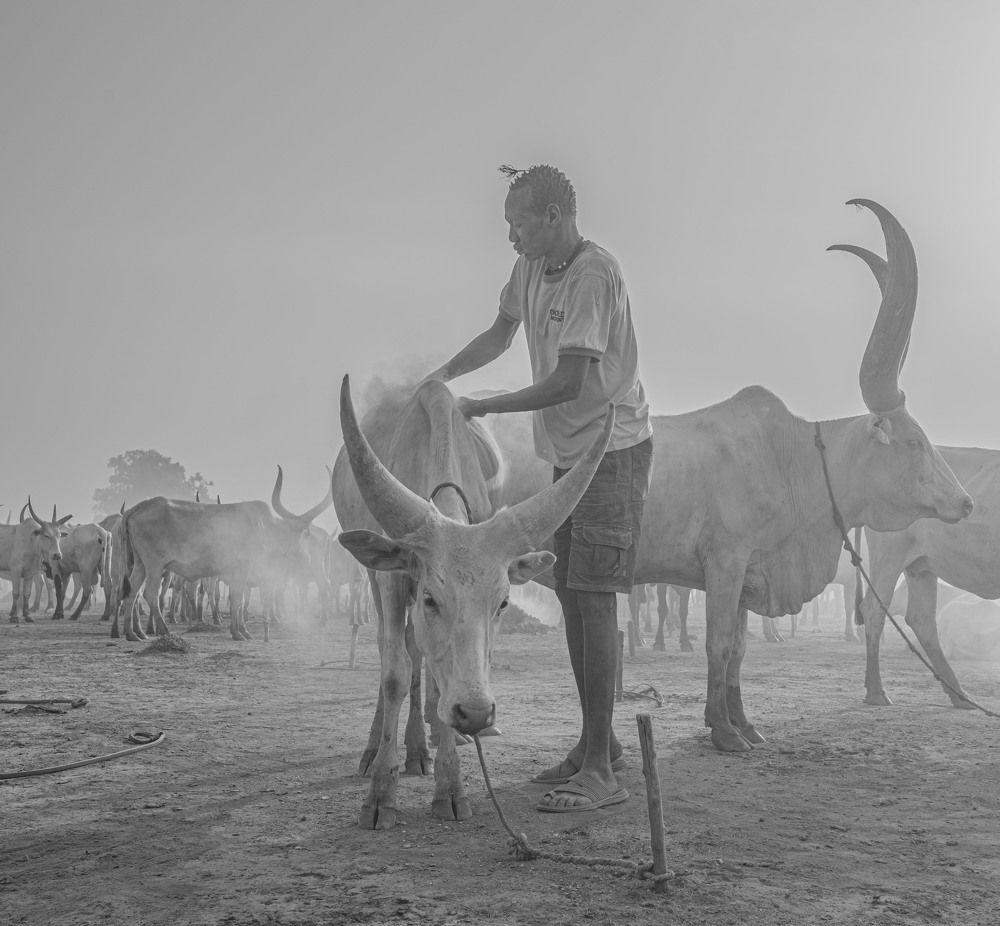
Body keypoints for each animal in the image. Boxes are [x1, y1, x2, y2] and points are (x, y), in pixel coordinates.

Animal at [117, 470, 332, 642]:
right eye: (307, 534)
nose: (307, 559)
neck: (265, 528)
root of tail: (138, 507)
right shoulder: (243, 568)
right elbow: (236, 600)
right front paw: (238, 633)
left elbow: (238, 601)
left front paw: (242, 630)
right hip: (154, 565)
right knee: (150, 594)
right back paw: (163, 630)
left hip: (140, 564)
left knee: (132, 592)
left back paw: (133, 633)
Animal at [331, 375, 613, 829]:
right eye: (432, 598)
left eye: (503, 603)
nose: (477, 714)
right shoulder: (395, 580)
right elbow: (394, 674)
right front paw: (380, 795)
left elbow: (440, 674)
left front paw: (450, 788)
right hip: (374, 581)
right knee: (393, 654)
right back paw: (377, 750)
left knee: (418, 657)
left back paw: (418, 751)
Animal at [857, 444, 1000, 707]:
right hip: (889, 556)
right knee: (874, 610)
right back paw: (876, 692)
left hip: (921, 566)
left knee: (922, 619)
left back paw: (959, 694)